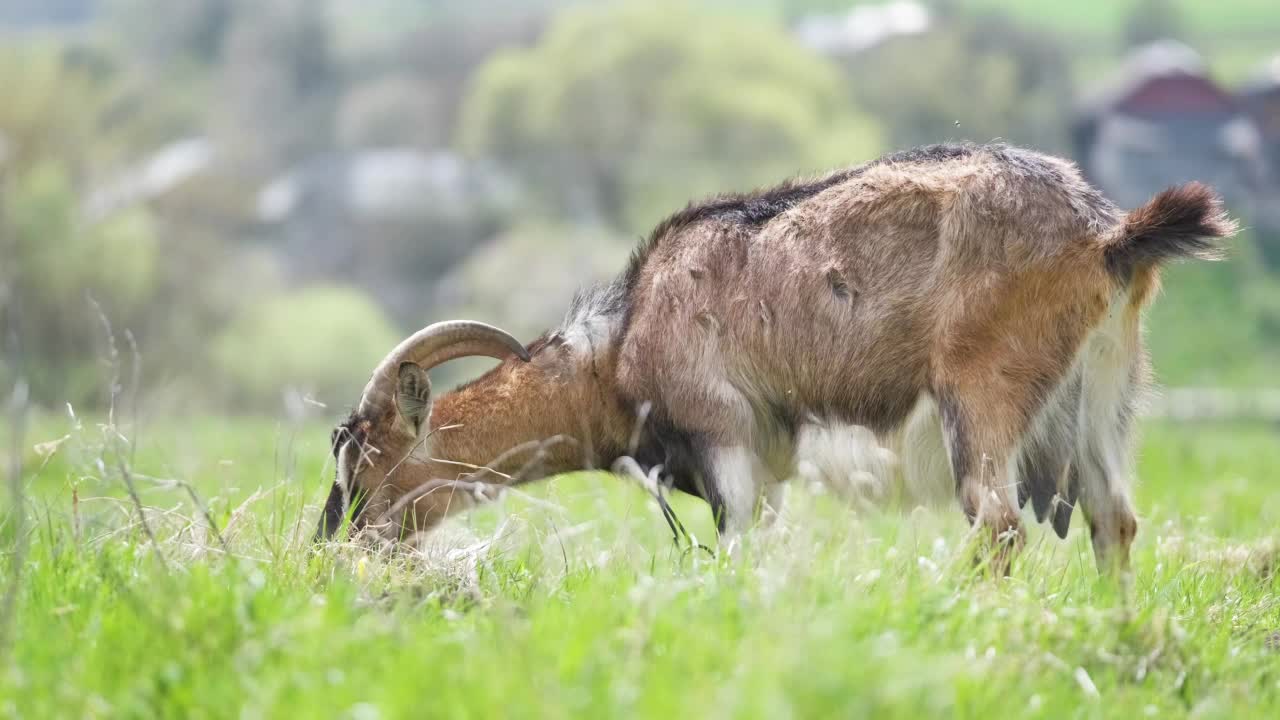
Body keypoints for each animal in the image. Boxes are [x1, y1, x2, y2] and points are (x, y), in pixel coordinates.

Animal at [314, 144, 1233, 571]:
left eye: (363, 460)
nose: (333, 546)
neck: (621, 344)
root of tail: (1108, 237)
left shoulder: (727, 440)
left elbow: (740, 550)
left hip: (983, 394)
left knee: (998, 521)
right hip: (1103, 395)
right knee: (1113, 519)